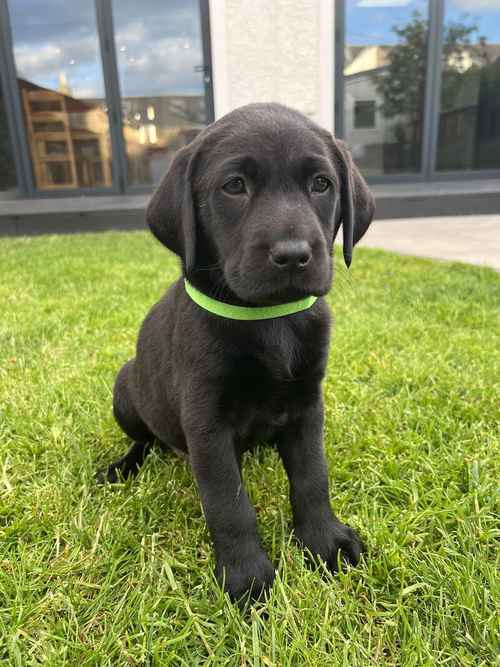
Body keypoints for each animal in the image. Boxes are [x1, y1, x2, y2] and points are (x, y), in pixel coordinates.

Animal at [97, 102, 374, 604]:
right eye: (234, 186)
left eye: (321, 184)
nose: (293, 255)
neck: (269, 319)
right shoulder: (206, 423)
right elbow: (229, 503)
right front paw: (247, 576)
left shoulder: (308, 405)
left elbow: (312, 477)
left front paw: (324, 540)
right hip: (126, 389)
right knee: (144, 440)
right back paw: (123, 467)